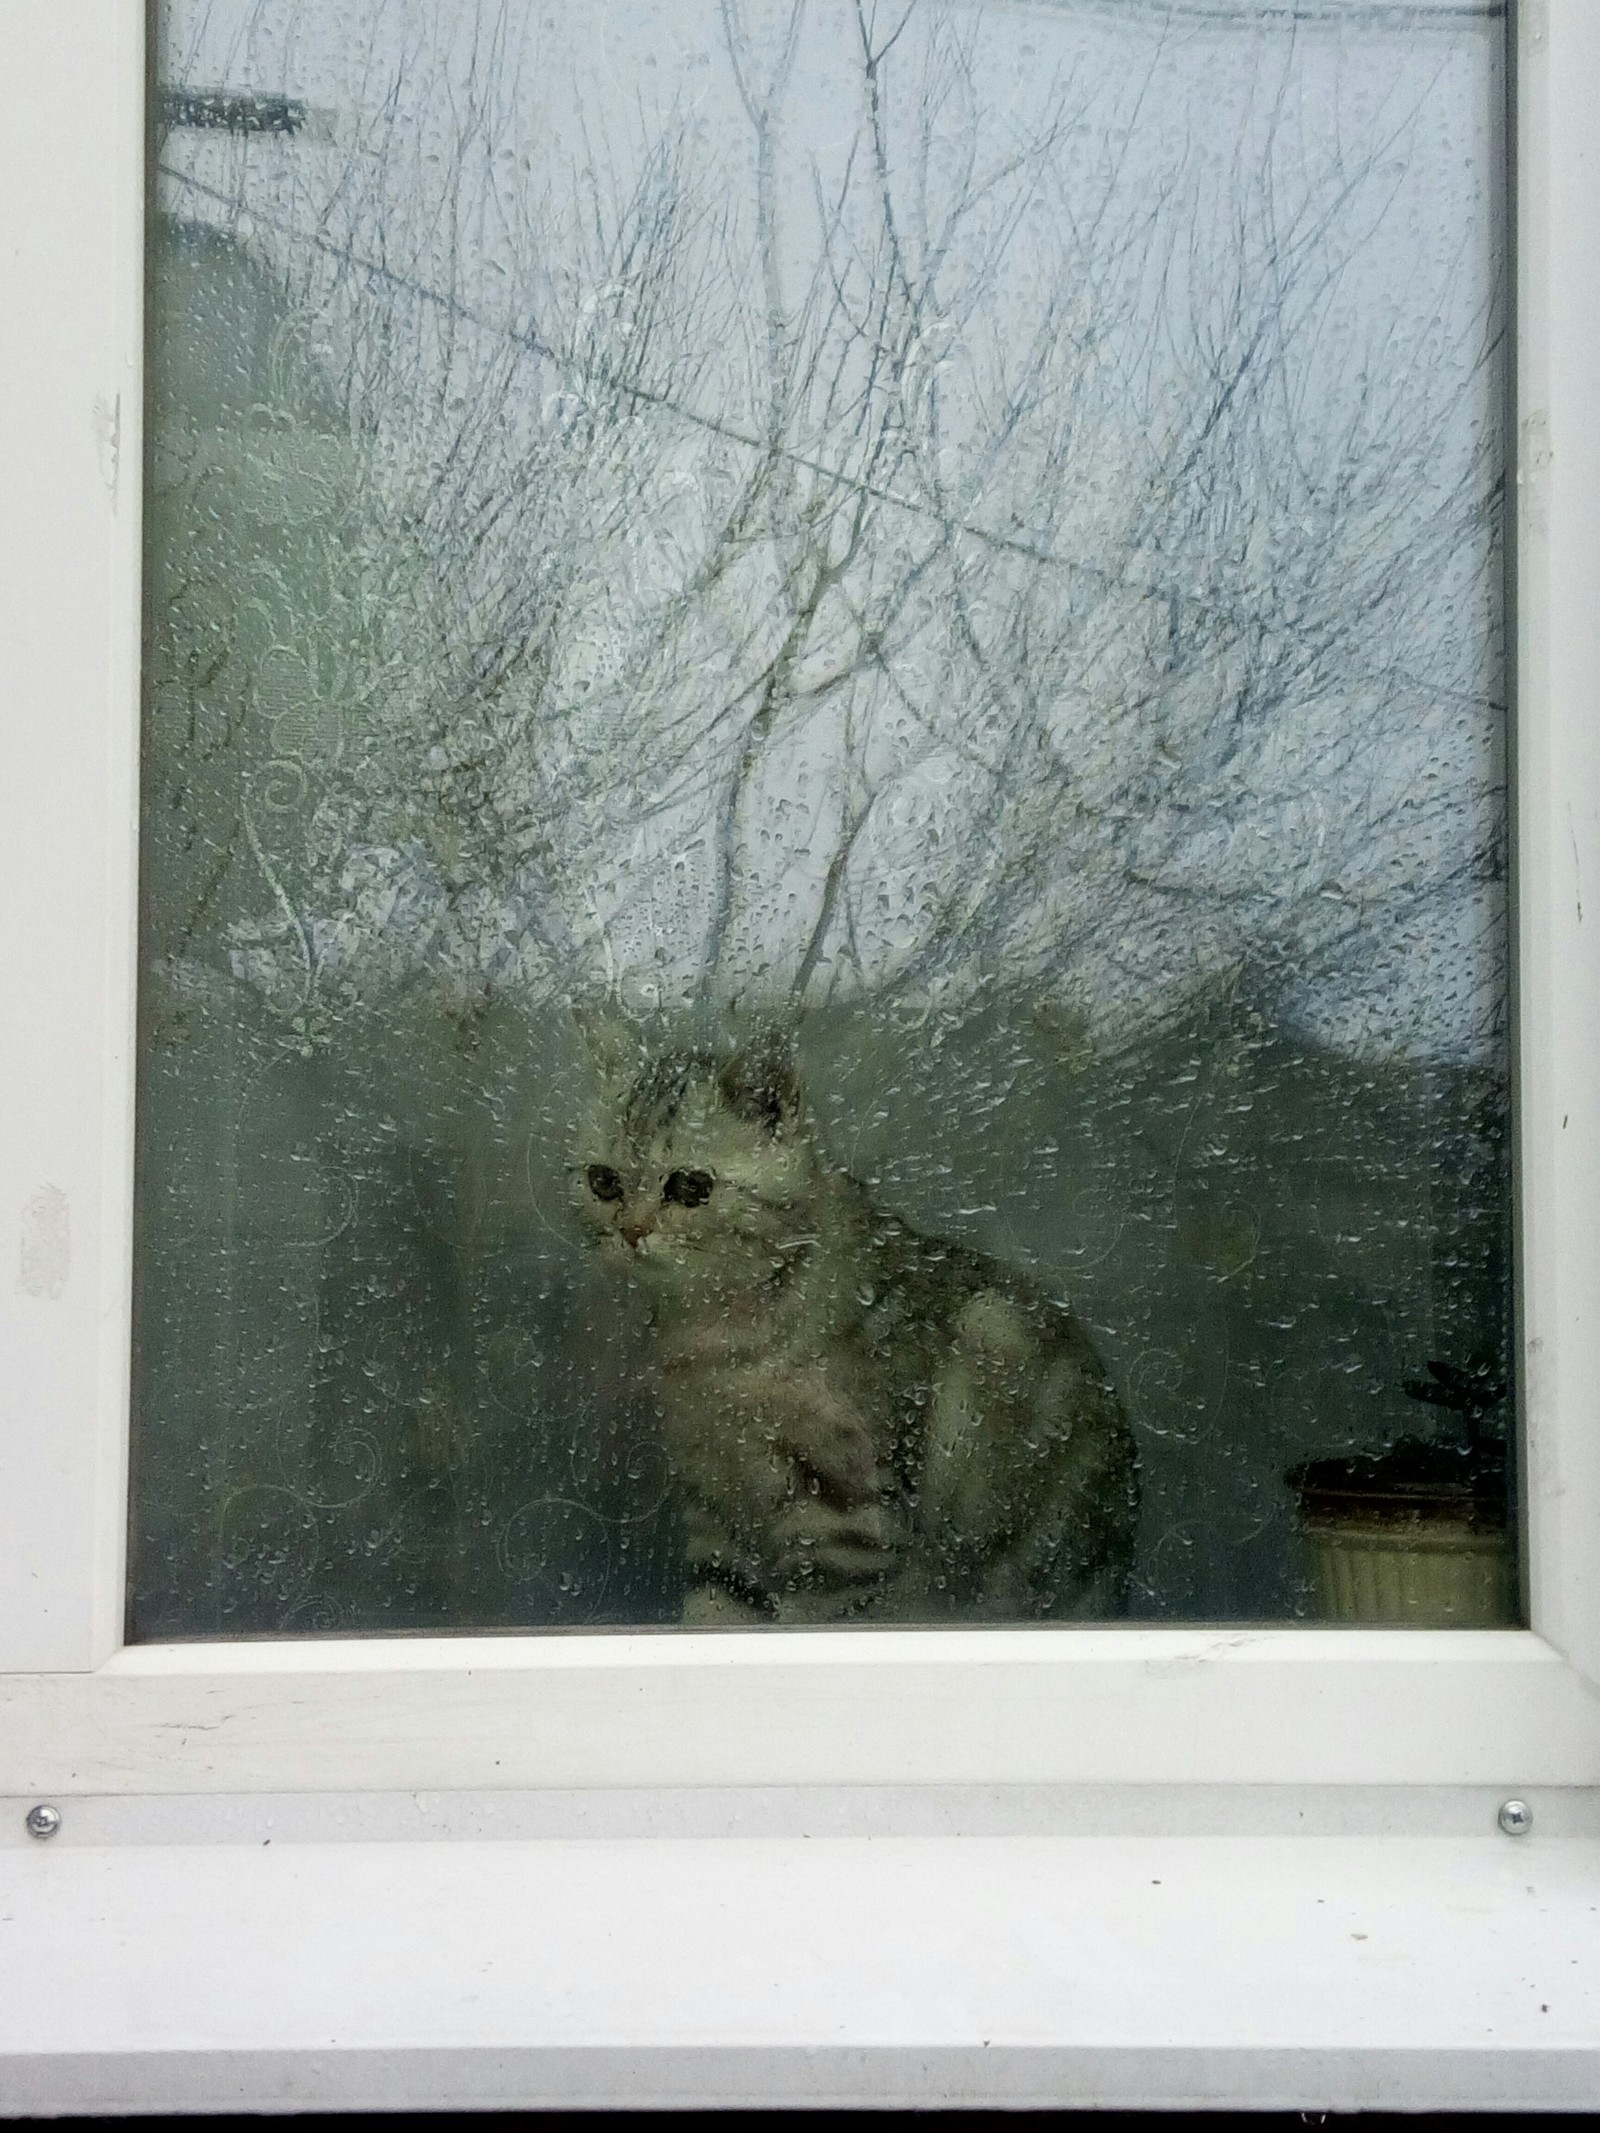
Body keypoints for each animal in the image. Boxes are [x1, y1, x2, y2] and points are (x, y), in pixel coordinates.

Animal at [576, 1040, 1143, 1621]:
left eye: (690, 1186)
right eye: (603, 1181)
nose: (630, 1231)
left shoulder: (848, 1511)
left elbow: (810, 1616)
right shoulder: (716, 1500)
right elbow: (718, 1603)